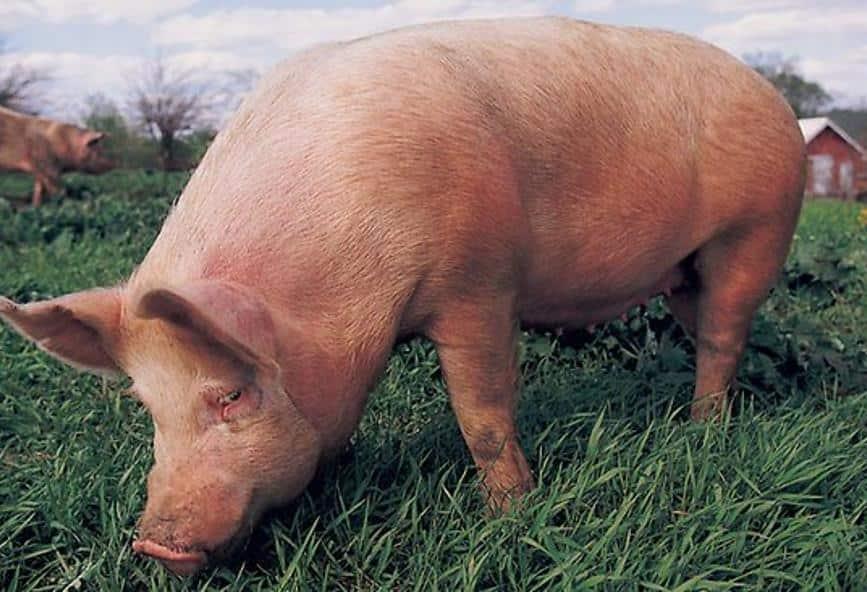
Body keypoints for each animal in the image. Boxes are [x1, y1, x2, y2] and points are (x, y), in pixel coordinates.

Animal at [0, 17, 805, 576]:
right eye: (147, 406)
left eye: (230, 395)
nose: (153, 547)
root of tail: (771, 94)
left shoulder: (477, 284)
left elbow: (482, 414)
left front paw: (507, 516)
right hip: (686, 270)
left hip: (755, 231)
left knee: (724, 335)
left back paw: (702, 431)